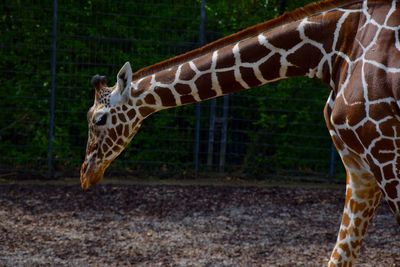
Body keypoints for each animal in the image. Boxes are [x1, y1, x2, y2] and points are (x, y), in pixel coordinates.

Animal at [81, 0, 400, 266]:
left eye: (99, 118)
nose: (86, 174)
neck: (332, 49)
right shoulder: (359, 169)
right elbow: (340, 255)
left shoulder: (385, 151)